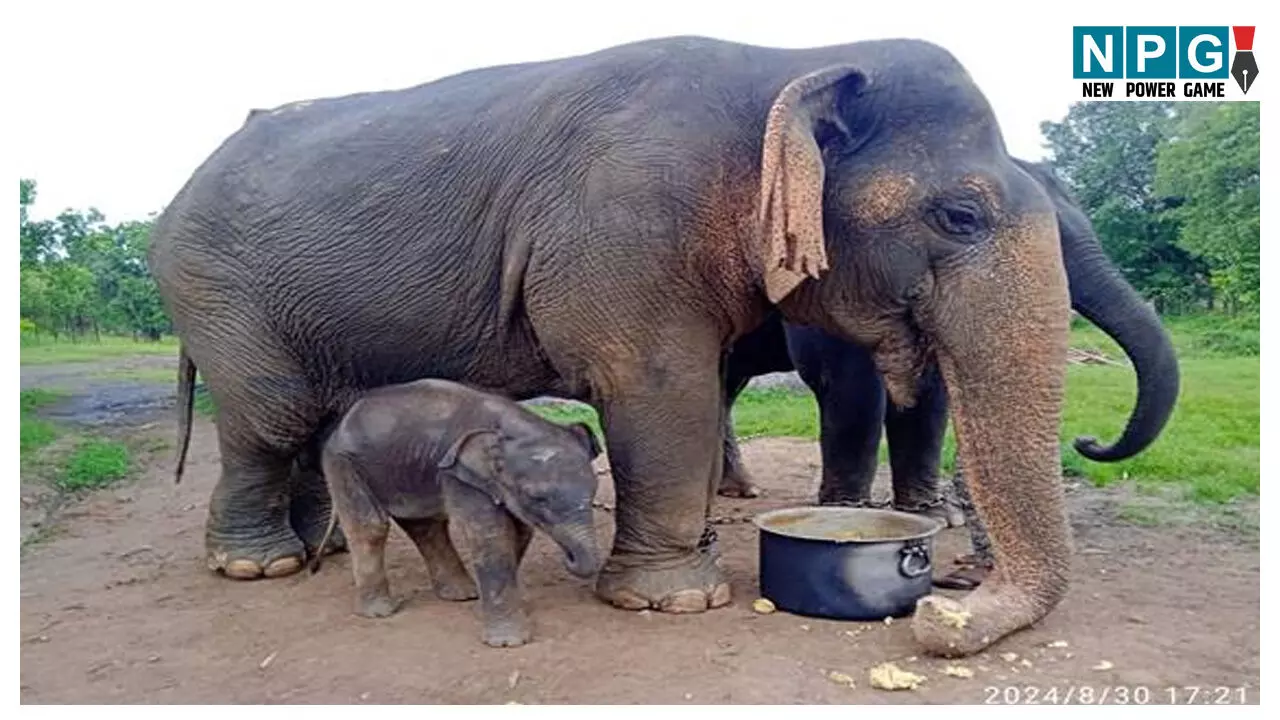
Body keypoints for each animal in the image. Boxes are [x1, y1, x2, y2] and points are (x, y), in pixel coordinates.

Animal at [311, 378, 604, 648]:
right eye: (537, 498)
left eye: (594, 491)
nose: (568, 558)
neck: (514, 425)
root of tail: (343, 421)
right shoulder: (459, 476)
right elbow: (491, 535)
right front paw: (507, 643)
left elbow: (519, 533)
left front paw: (481, 611)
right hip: (342, 463)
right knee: (370, 526)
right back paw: (379, 613)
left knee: (425, 525)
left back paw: (462, 595)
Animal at [717, 159, 1181, 590]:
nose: (1087, 441)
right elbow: (851, 385)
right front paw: (841, 513)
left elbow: (931, 390)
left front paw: (938, 515)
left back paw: (737, 490)